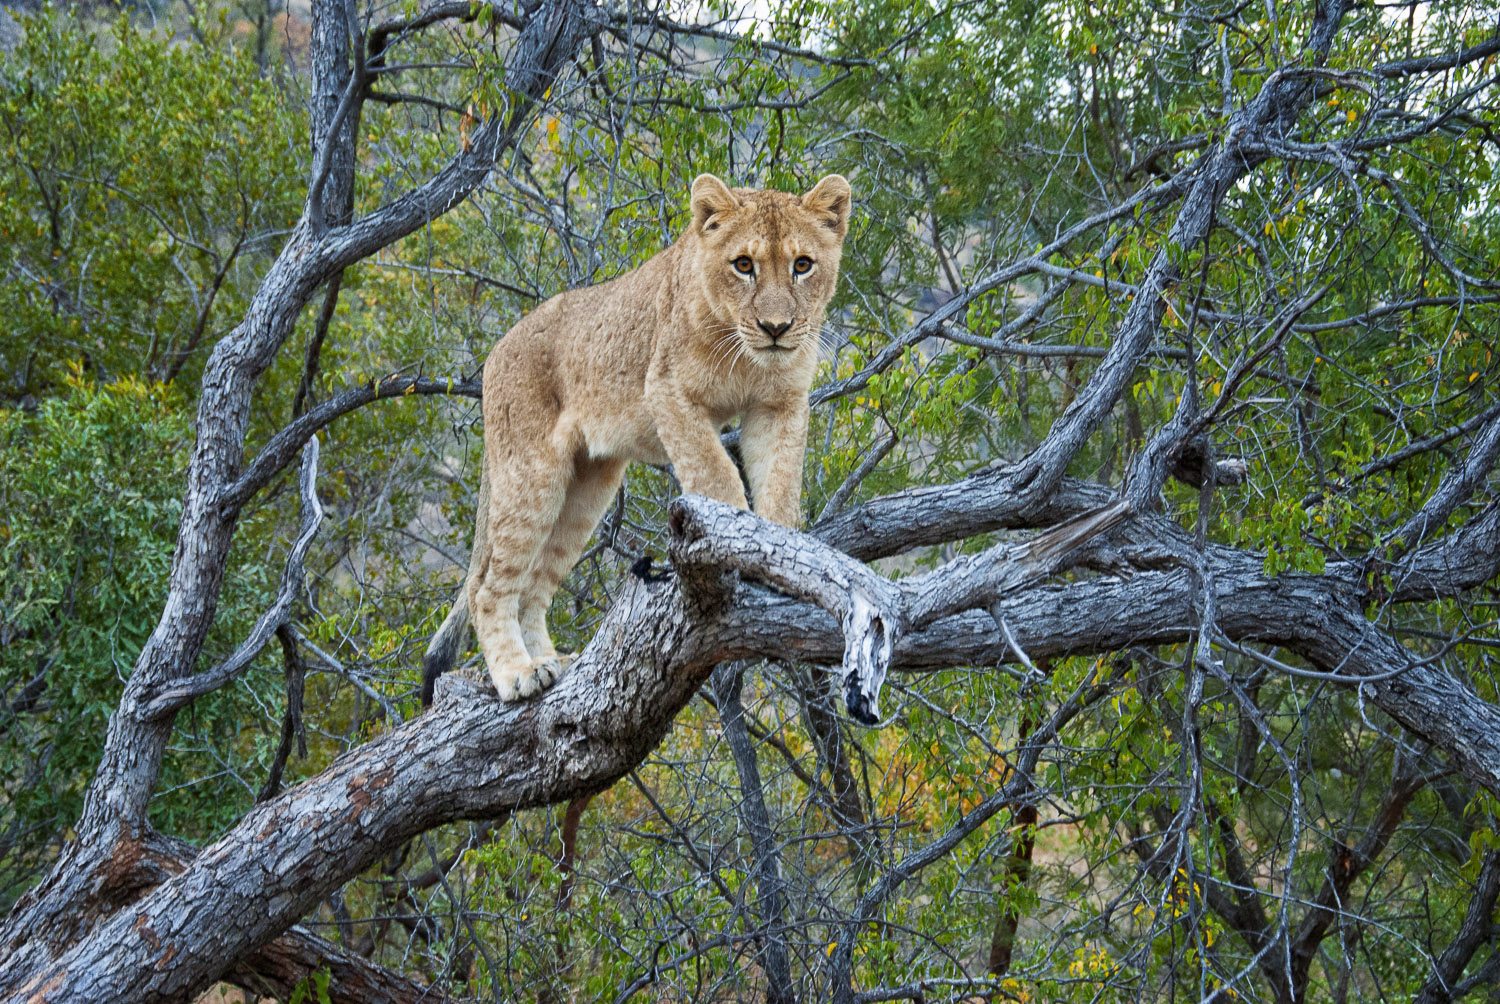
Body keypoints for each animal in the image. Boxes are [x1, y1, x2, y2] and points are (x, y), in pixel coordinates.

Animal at [421, 172, 852, 704]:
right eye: (743, 265)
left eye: (803, 265)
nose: (776, 328)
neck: (745, 354)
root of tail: (496, 349)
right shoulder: (668, 391)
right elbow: (716, 476)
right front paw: (733, 543)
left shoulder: (779, 405)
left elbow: (781, 484)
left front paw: (781, 559)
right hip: (530, 474)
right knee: (488, 586)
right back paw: (517, 675)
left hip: (588, 488)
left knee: (534, 586)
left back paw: (551, 663)